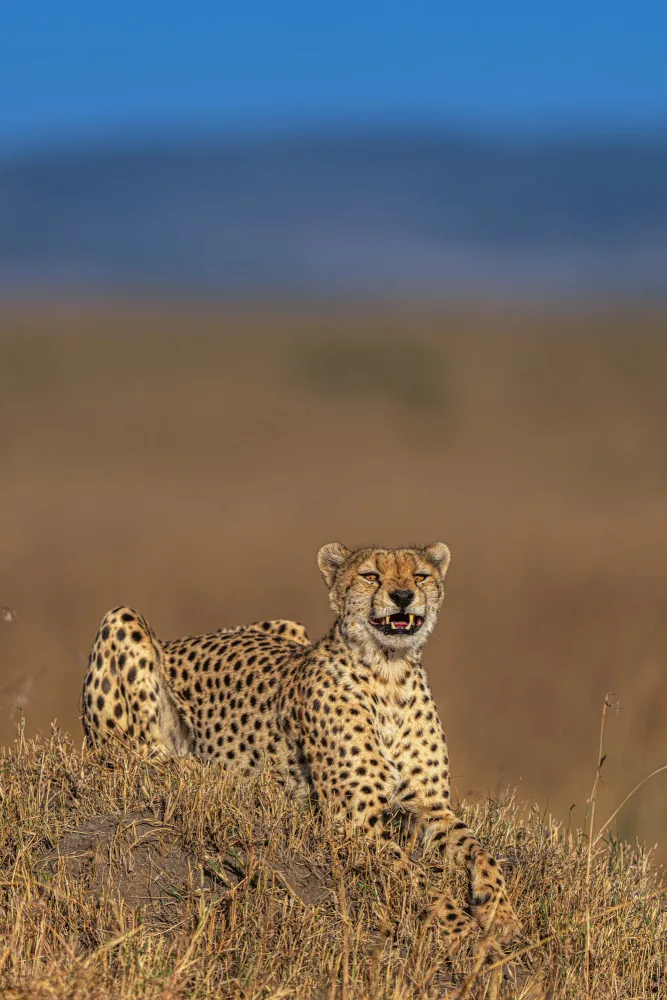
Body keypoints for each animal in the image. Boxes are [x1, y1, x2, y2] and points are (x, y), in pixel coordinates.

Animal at [81, 542, 519, 949]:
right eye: (371, 576)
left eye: (421, 575)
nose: (402, 596)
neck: (389, 672)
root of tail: (180, 640)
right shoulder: (355, 819)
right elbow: (415, 875)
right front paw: (463, 927)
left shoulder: (430, 807)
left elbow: (480, 850)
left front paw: (499, 911)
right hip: (121, 621)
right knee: (130, 755)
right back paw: (197, 767)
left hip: (287, 624)